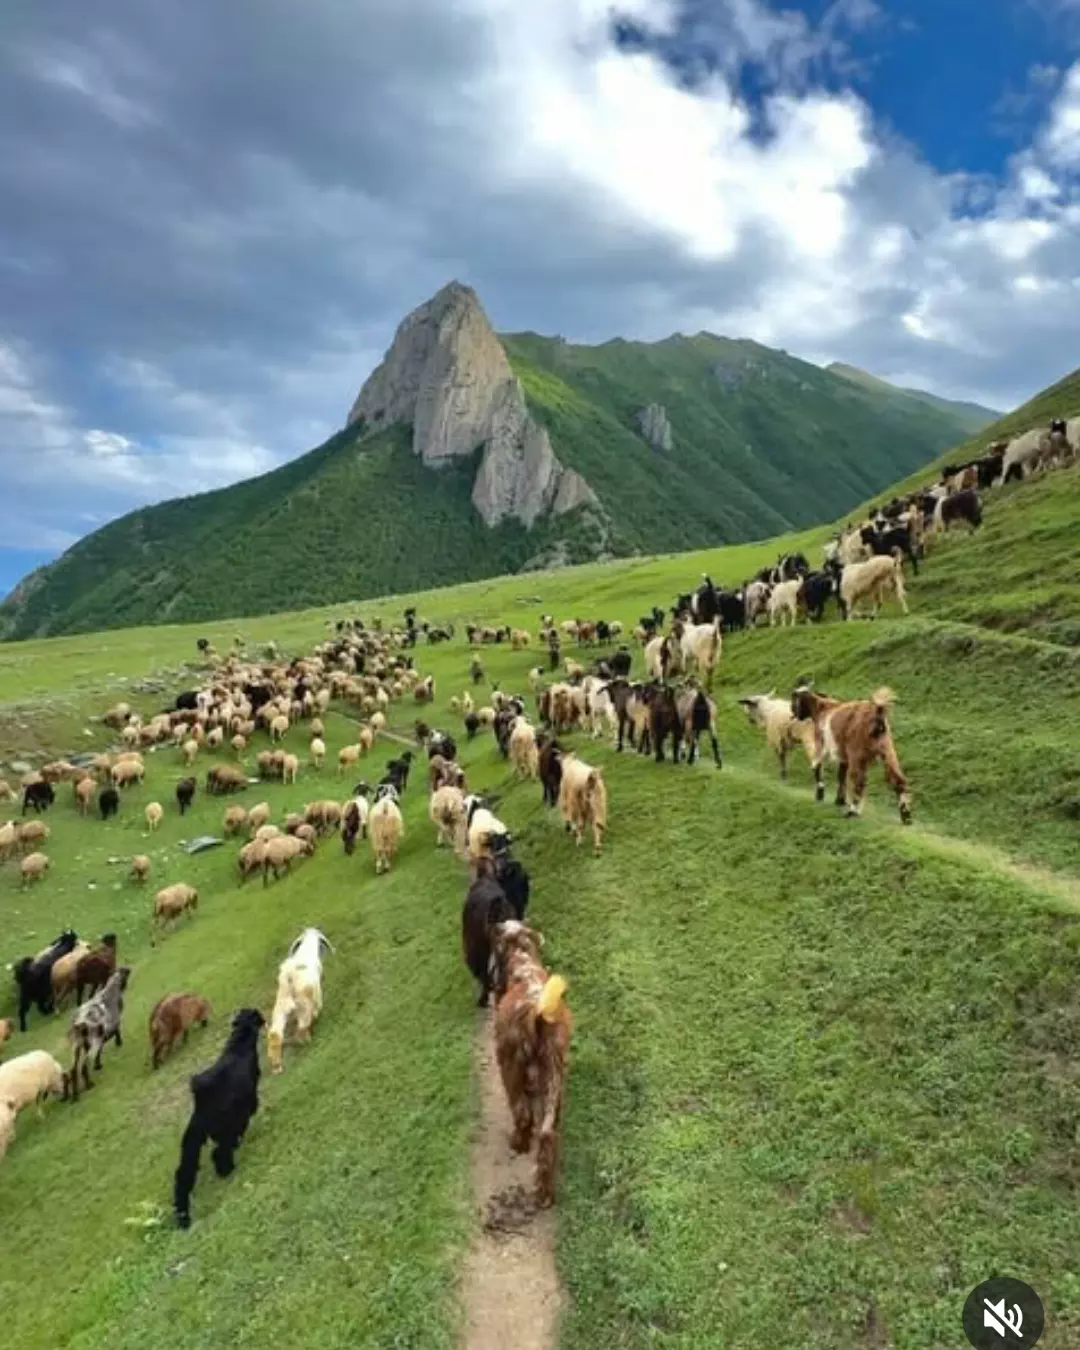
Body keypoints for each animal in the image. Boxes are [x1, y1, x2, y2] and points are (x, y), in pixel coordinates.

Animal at [63, 967, 132, 1101]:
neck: (111, 988)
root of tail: (79, 1022)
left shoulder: (94, 1040)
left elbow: (100, 1051)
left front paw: (98, 1065)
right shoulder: (114, 1022)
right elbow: (117, 1031)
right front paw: (119, 1042)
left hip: (77, 1045)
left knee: (73, 1069)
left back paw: (75, 1096)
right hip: (93, 1041)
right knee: (84, 1066)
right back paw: (89, 1085)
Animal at [173, 1007, 265, 1228]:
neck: (239, 1043)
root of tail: (202, 1101)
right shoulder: (247, 1102)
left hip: (192, 1141)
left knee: (183, 1174)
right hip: (224, 1128)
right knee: (220, 1151)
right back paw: (227, 1169)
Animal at [267, 929, 333, 1074]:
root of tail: (289, 977)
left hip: (280, 1009)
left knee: (275, 1035)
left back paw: (276, 1067)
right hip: (303, 1006)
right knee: (302, 1027)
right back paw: (307, 1040)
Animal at [491, 921, 571, 1207]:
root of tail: (535, 1011)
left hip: (510, 1066)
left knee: (523, 1114)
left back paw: (519, 1143)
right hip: (554, 1069)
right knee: (547, 1133)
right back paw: (545, 1192)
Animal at [791, 683, 912, 823]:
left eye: (794, 700)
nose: (793, 713)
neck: (822, 708)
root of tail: (877, 713)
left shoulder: (822, 745)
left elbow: (816, 765)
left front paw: (820, 795)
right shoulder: (844, 757)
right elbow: (841, 775)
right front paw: (839, 801)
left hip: (857, 752)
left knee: (859, 780)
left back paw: (853, 812)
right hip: (887, 750)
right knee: (899, 780)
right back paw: (906, 816)